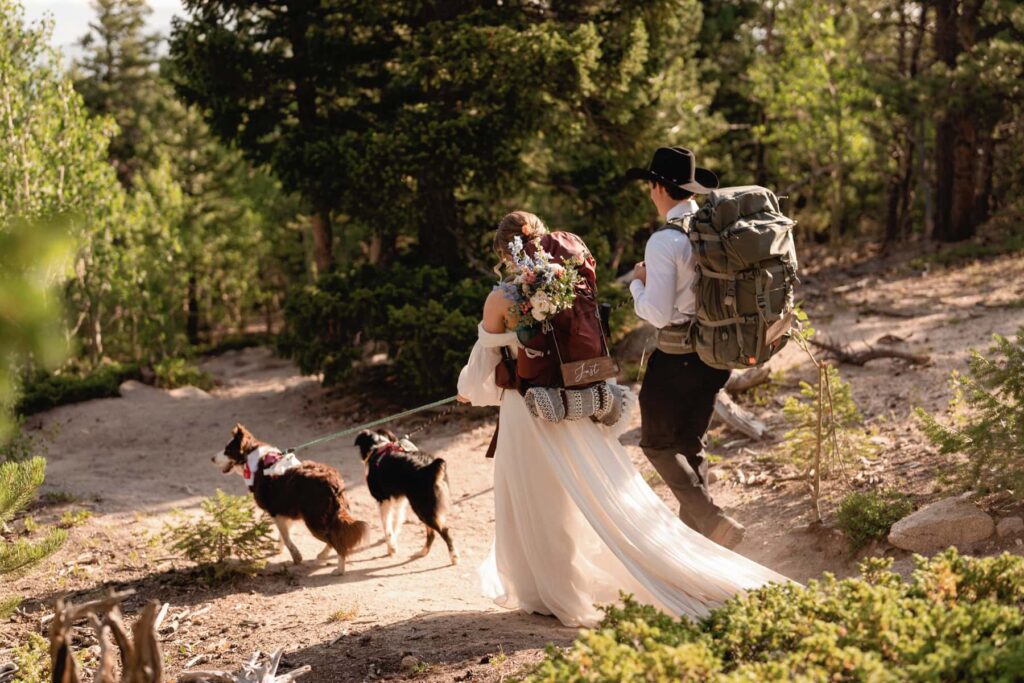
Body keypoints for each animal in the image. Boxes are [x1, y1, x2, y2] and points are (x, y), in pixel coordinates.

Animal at [214, 423, 370, 573]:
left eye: (227, 450)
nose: (212, 459)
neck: (252, 458)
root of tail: (332, 483)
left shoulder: (275, 512)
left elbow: (286, 537)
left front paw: (296, 556)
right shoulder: (286, 511)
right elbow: (284, 535)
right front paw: (279, 549)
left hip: (315, 522)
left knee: (336, 541)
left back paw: (339, 569)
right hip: (327, 517)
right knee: (336, 538)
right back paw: (323, 556)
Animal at [356, 428, 460, 565]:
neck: (378, 446)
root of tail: (428, 468)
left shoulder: (383, 500)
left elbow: (387, 527)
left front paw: (391, 548)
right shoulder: (400, 500)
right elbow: (396, 523)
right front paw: (393, 545)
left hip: (422, 508)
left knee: (443, 530)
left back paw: (454, 556)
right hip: (424, 508)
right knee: (431, 533)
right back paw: (422, 552)